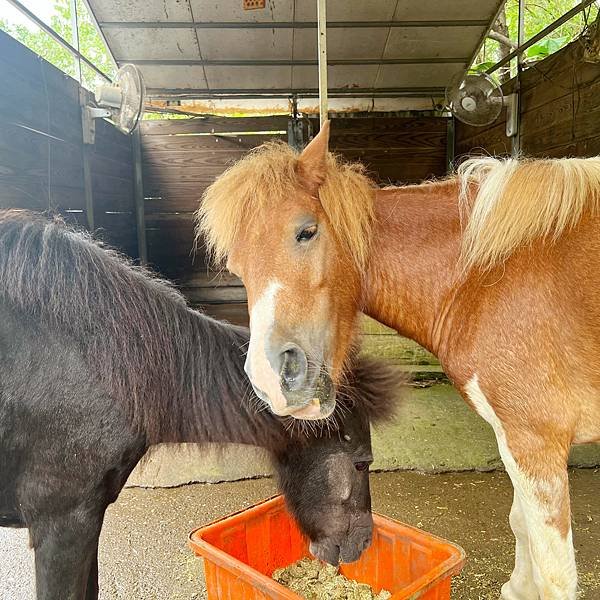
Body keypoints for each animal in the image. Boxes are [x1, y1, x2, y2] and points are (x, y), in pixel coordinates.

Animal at [198, 123, 600, 600]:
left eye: (306, 232)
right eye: (235, 267)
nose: (271, 379)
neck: (487, 277)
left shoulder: (535, 442)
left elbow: (555, 573)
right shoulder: (515, 440)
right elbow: (520, 525)